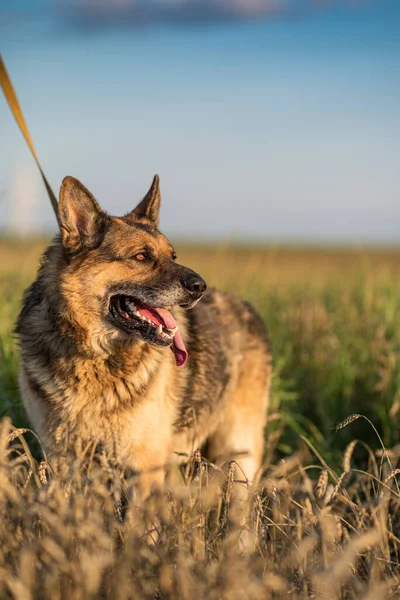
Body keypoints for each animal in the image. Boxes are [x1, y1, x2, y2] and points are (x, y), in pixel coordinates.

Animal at [16, 176, 272, 504]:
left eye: (173, 256)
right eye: (141, 257)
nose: (199, 287)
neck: (95, 358)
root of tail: (247, 309)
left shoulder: (144, 468)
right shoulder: (63, 460)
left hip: (239, 454)